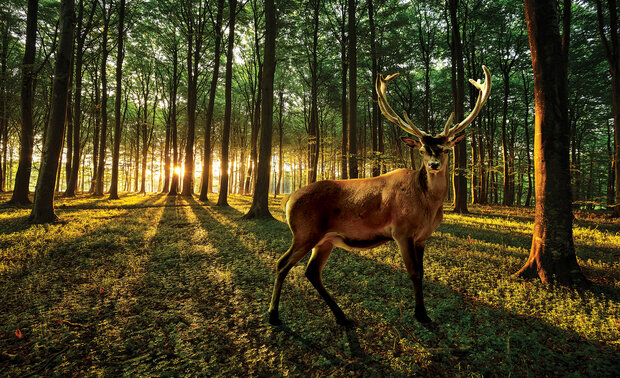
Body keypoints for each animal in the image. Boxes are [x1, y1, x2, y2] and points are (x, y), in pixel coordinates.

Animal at [268, 66, 492, 326]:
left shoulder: (422, 237)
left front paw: (423, 312)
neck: (428, 205)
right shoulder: (401, 231)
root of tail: (288, 200)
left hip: (325, 239)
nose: (434, 165)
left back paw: (342, 316)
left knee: (312, 271)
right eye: (422, 150)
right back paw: (273, 315)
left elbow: (422, 271)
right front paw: (421, 314)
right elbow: (414, 273)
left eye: (446, 149)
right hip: (305, 232)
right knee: (282, 263)